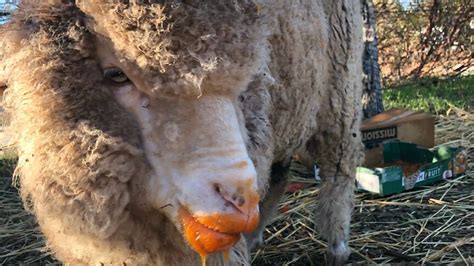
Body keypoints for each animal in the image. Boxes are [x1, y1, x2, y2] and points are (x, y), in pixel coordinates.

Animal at [0, 1, 364, 264]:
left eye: (246, 80)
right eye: (116, 74)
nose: (240, 201)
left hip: (341, 95)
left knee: (339, 172)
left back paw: (337, 246)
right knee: (279, 175)